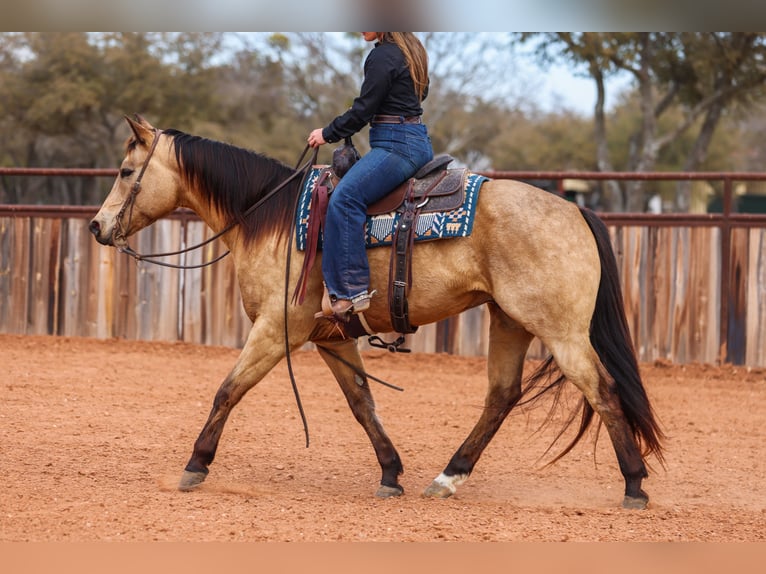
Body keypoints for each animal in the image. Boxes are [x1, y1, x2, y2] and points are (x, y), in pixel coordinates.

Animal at [89, 115, 664, 509]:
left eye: (125, 170)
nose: (96, 226)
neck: (273, 218)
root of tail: (573, 209)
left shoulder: (277, 328)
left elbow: (228, 389)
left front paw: (195, 465)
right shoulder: (330, 335)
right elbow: (362, 403)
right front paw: (391, 472)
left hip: (561, 332)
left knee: (604, 390)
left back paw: (634, 485)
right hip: (510, 322)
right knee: (501, 396)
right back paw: (448, 476)